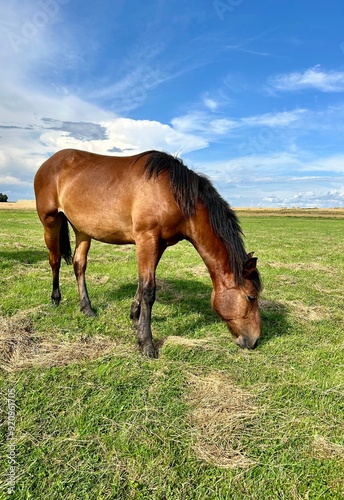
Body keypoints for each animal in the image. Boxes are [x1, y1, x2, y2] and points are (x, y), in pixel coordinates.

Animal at [34, 148, 260, 356]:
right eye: (251, 297)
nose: (255, 341)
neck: (173, 194)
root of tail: (48, 162)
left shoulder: (159, 244)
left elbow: (142, 285)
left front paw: (135, 317)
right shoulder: (147, 239)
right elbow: (149, 290)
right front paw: (146, 343)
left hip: (82, 230)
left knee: (79, 264)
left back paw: (87, 308)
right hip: (50, 222)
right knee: (54, 260)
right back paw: (55, 298)